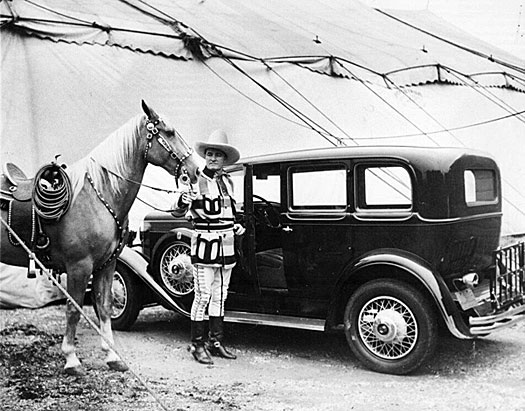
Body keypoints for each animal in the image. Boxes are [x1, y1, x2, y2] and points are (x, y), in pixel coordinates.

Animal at [0, 100, 200, 376]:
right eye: (169, 133)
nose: (198, 169)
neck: (99, 195)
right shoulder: (79, 266)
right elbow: (73, 309)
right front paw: (71, 359)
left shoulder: (107, 265)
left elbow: (105, 306)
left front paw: (112, 356)